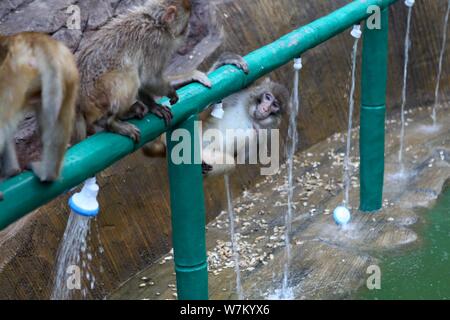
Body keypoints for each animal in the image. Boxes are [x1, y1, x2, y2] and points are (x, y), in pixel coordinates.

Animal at [74, 0, 212, 142]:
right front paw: (170, 92)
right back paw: (112, 123)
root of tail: (80, 103)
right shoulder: (156, 42)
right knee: (131, 73)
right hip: (98, 95)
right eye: (186, 23)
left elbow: (144, 80)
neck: (156, 22)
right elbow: (148, 79)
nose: (188, 28)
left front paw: (153, 105)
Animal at [142, 53, 286, 176]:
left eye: (275, 105)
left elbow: (242, 155)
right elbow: (211, 97)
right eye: (268, 97)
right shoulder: (240, 93)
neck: (249, 115)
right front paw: (229, 60)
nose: (266, 108)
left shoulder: (267, 132)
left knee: (230, 162)